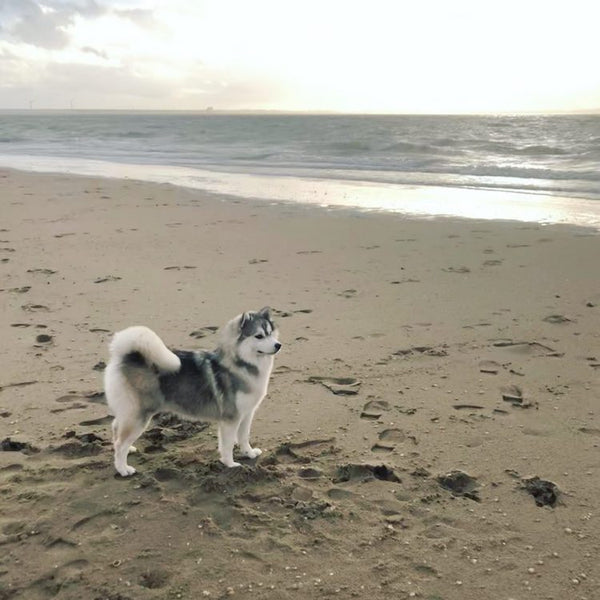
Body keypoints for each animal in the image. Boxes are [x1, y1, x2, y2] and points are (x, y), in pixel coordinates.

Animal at [103, 308, 282, 476]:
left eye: (270, 333)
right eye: (259, 336)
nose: (278, 345)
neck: (242, 364)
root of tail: (126, 356)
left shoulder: (246, 414)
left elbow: (244, 437)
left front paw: (249, 453)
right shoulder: (231, 418)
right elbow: (228, 445)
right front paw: (230, 464)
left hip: (129, 411)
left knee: (116, 428)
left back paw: (129, 450)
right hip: (139, 416)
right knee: (120, 444)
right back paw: (123, 469)